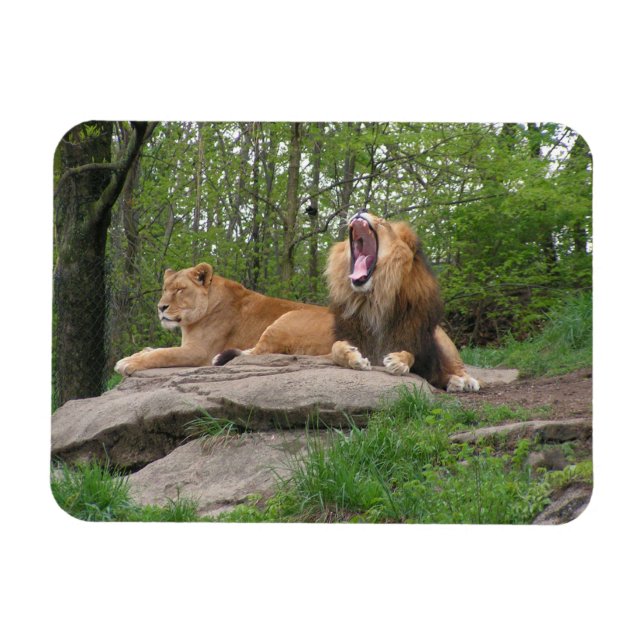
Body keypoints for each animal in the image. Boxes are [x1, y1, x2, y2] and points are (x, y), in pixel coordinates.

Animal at [114, 262, 334, 376]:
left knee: (259, 352)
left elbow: (162, 354)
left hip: (287, 318)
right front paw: (133, 355)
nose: (161, 307)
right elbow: (155, 349)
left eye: (179, 290)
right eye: (164, 289)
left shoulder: (199, 352)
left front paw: (128, 363)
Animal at [326, 211, 480, 392]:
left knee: (458, 368)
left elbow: (411, 355)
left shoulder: (423, 357)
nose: (360, 210)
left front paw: (398, 361)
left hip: (444, 342)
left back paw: (465, 382)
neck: (373, 300)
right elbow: (335, 347)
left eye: (383, 222)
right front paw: (354, 357)